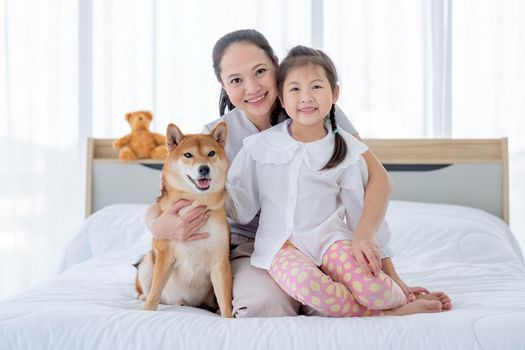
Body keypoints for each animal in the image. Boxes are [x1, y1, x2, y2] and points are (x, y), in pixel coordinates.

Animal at [135, 122, 231, 318]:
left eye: (211, 153)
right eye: (188, 155)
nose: (204, 168)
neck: (195, 202)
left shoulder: (219, 261)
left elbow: (225, 300)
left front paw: (228, 317)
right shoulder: (165, 255)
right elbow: (155, 290)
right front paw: (147, 309)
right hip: (147, 263)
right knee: (150, 290)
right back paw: (144, 298)